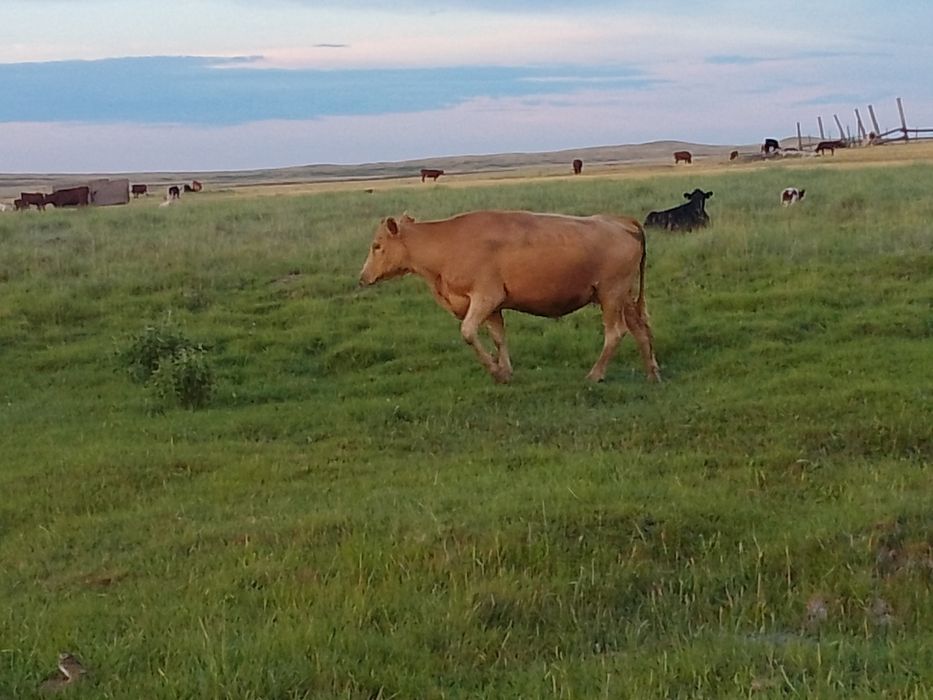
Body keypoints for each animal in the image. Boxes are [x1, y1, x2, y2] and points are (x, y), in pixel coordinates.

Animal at [359, 211, 660, 385]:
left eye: (377, 246)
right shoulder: (494, 307)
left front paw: (495, 371)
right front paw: (504, 371)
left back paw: (595, 374)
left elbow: (468, 332)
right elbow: (498, 338)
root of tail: (622, 222)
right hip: (623, 297)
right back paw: (651, 373)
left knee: (615, 333)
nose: (363, 277)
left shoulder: (485, 298)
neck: (448, 243)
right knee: (640, 329)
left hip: (611, 295)